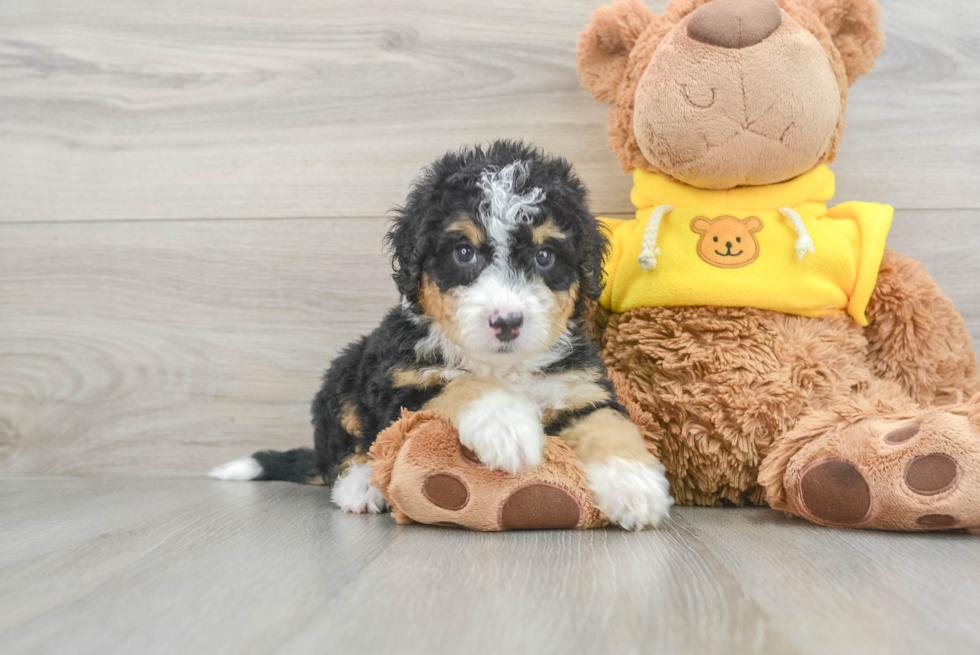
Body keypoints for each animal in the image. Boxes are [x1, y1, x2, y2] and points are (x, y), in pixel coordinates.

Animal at [212, 141, 672, 532]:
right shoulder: (401, 382)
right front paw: (508, 427)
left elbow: (608, 422)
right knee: (342, 448)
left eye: (545, 256)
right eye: (463, 253)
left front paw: (636, 487)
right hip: (345, 372)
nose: (507, 322)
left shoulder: (577, 387)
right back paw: (361, 486)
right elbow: (461, 384)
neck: (501, 365)